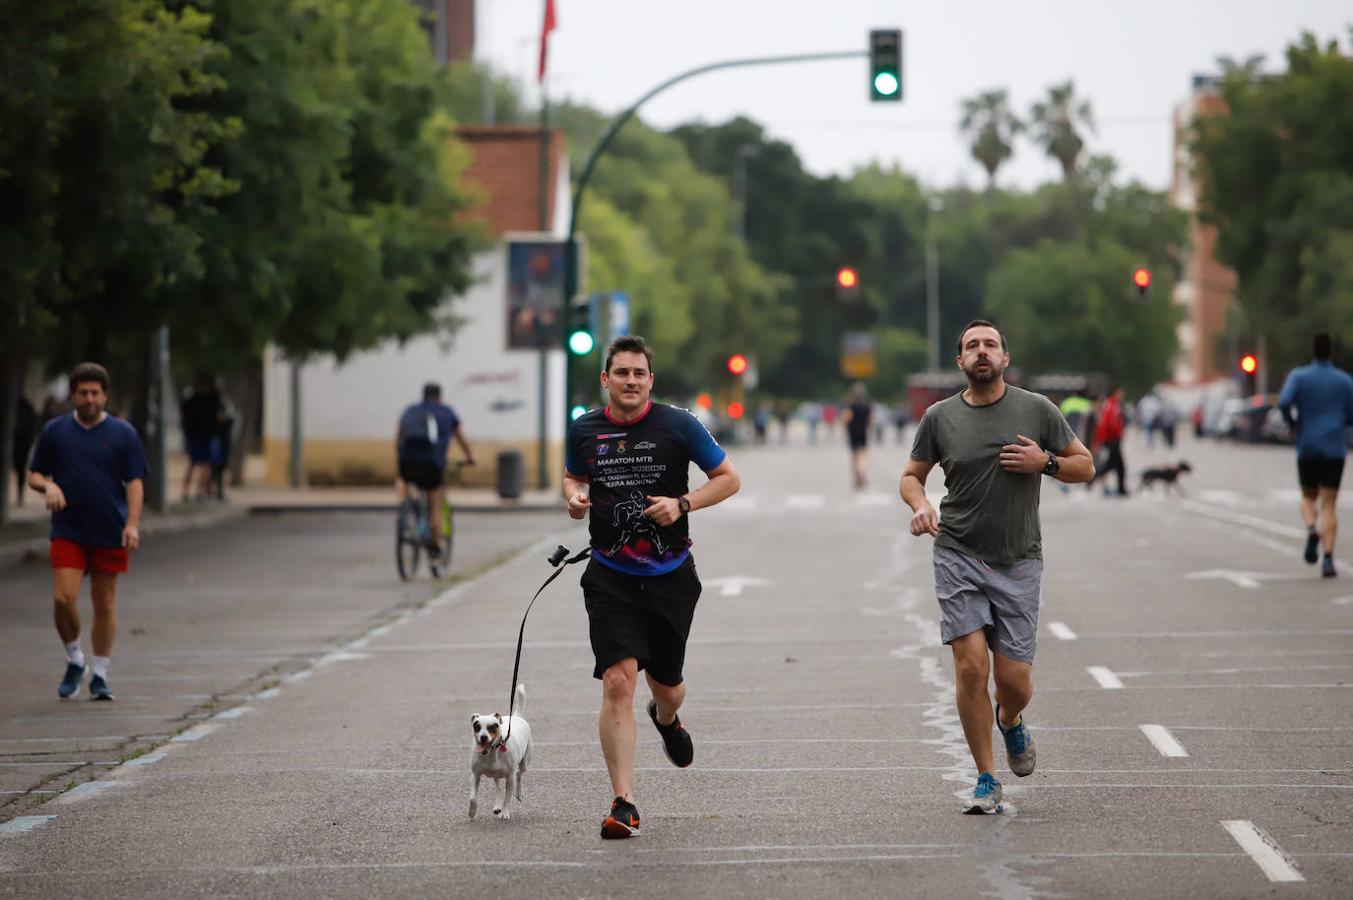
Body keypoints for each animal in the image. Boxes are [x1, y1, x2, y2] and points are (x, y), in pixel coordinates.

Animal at [465, 684, 527, 817]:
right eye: (477, 727)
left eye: (493, 727)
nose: (483, 737)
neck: (492, 752)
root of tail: (516, 716)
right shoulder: (475, 775)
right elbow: (473, 798)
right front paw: (472, 811)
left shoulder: (510, 778)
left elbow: (508, 798)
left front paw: (505, 812)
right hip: (496, 775)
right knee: (498, 788)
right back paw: (498, 806)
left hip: (525, 763)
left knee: (519, 774)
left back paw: (519, 793)